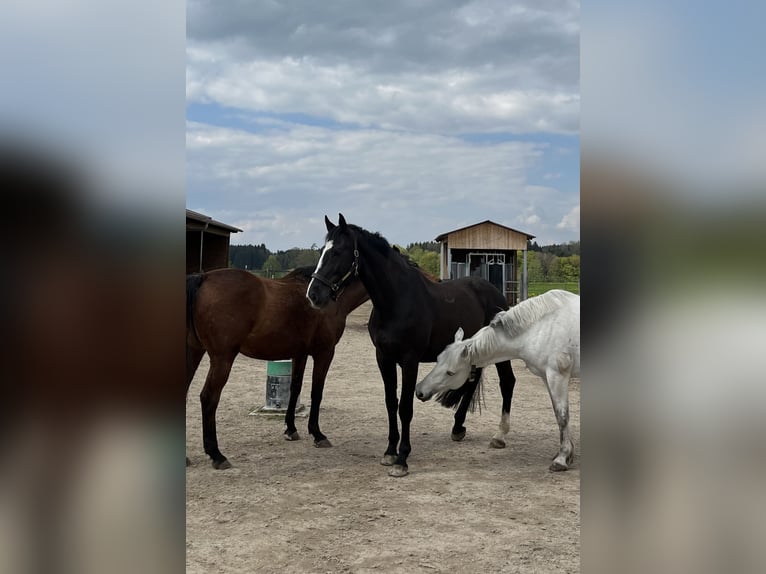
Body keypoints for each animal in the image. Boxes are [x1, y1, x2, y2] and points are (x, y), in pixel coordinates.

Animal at [184, 268, 368, 470]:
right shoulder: (324, 353)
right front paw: (317, 434)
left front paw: (290, 429)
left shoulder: (300, 354)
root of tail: (204, 277)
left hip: (195, 352)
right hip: (222, 359)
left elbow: (295, 388)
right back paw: (216, 454)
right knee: (209, 398)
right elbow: (316, 392)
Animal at [304, 214, 516, 480]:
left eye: (338, 252)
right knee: (471, 382)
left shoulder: (409, 360)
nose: (313, 295)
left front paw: (402, 459)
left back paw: (499, 436)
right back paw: (458, 427)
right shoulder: (383, 358)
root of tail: (494, 292)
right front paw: (389, 452)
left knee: (507, 382)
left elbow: (405, 407)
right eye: (323, 251)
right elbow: (390, 402)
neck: (396, 300)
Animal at [416, 292, 580, 472]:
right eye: (438, 359)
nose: (420, 391)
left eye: (450, 372)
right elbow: (558, 415)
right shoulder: (546, 377)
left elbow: (562, 416)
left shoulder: (557, 376)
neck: (541, 328)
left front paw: (562, 458)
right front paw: (567, 453)